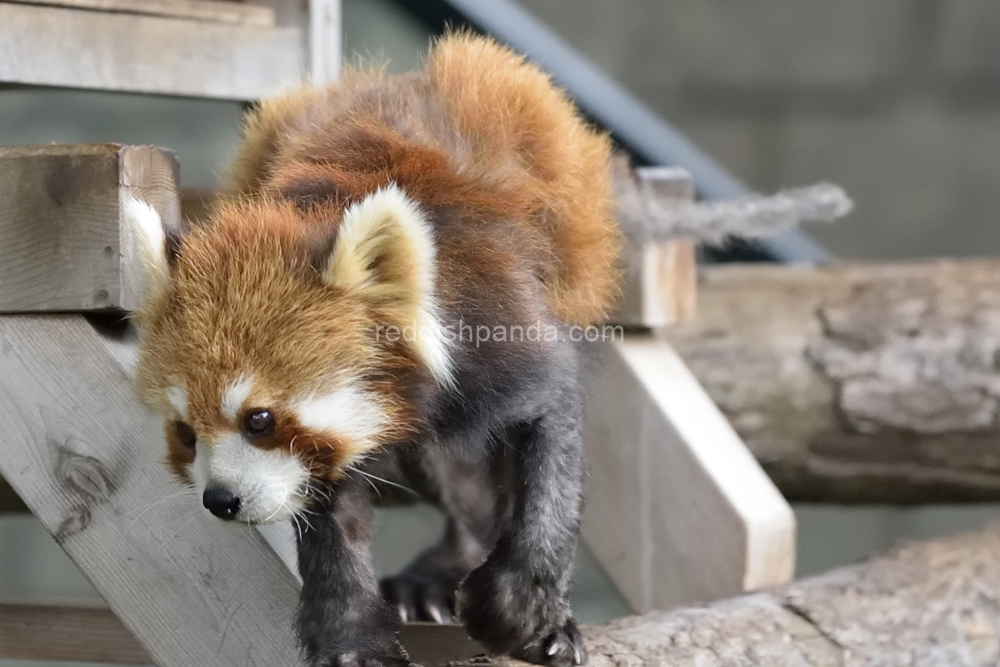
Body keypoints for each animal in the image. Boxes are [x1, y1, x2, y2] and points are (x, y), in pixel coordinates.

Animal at [126, 32, 616, 667]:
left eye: (259, 419)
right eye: (186, 433)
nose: (221, 499)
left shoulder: (505, 332)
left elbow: (550, 459)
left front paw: (528, 619)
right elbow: (331, 515)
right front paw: (351, 640)